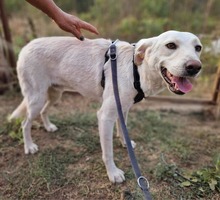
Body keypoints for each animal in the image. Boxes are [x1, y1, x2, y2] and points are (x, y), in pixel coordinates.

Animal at [10, 29, 203, 183]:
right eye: (170, 45)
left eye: (198, 48)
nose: (195, 67)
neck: (136, 69)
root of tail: (27, 46)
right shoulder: (105, 116)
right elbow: (108, 151)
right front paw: (113, 173)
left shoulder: (123, 108)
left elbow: (123, 129)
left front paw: (125, 143)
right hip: (37, 98)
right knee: (25, 123)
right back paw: (29, 146)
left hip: (54, 95)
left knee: (43, 112)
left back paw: (49, 126)